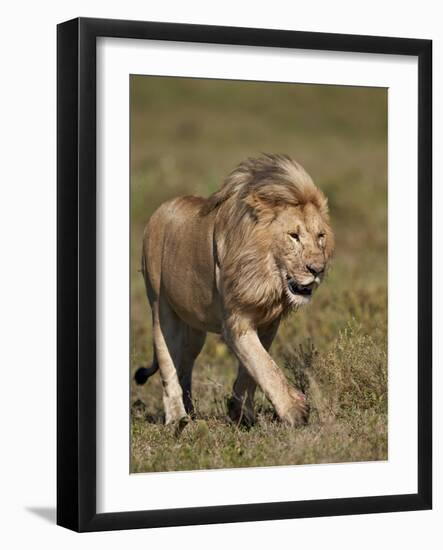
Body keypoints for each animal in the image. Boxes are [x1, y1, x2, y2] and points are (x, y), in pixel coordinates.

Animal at [136, 153, 336, 430]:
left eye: (320, 236)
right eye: (293, 236)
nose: (317, 269)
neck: (267, 275)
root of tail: (161, 208)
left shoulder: (268, 323)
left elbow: (252, 369)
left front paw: (241, 413)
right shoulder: (236, 321)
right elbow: (264, 365)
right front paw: (296, 412)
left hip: (195, 330)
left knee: (185, 364)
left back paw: (191, 411)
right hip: (161, 308)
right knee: (168, 364)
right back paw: (177, 419)